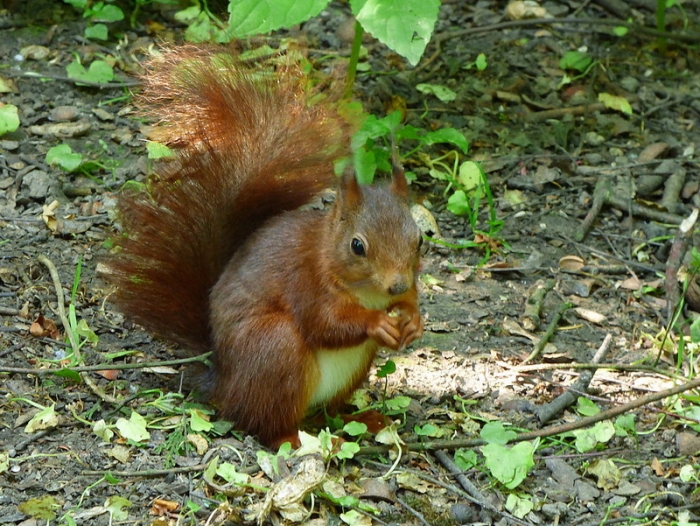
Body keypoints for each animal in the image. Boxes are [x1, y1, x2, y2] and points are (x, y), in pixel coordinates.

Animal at [105, 45, 423, 448]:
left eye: (420, 239)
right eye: (357, 246)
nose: (396, 284)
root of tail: (224, 386)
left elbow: (409, 302)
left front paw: (413, 319)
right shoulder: (307, 281)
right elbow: (324, 322)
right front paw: (377, 322)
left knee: (329, 413)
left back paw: (362, 421)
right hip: (276, 350)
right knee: (268, 425)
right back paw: (298, 441)